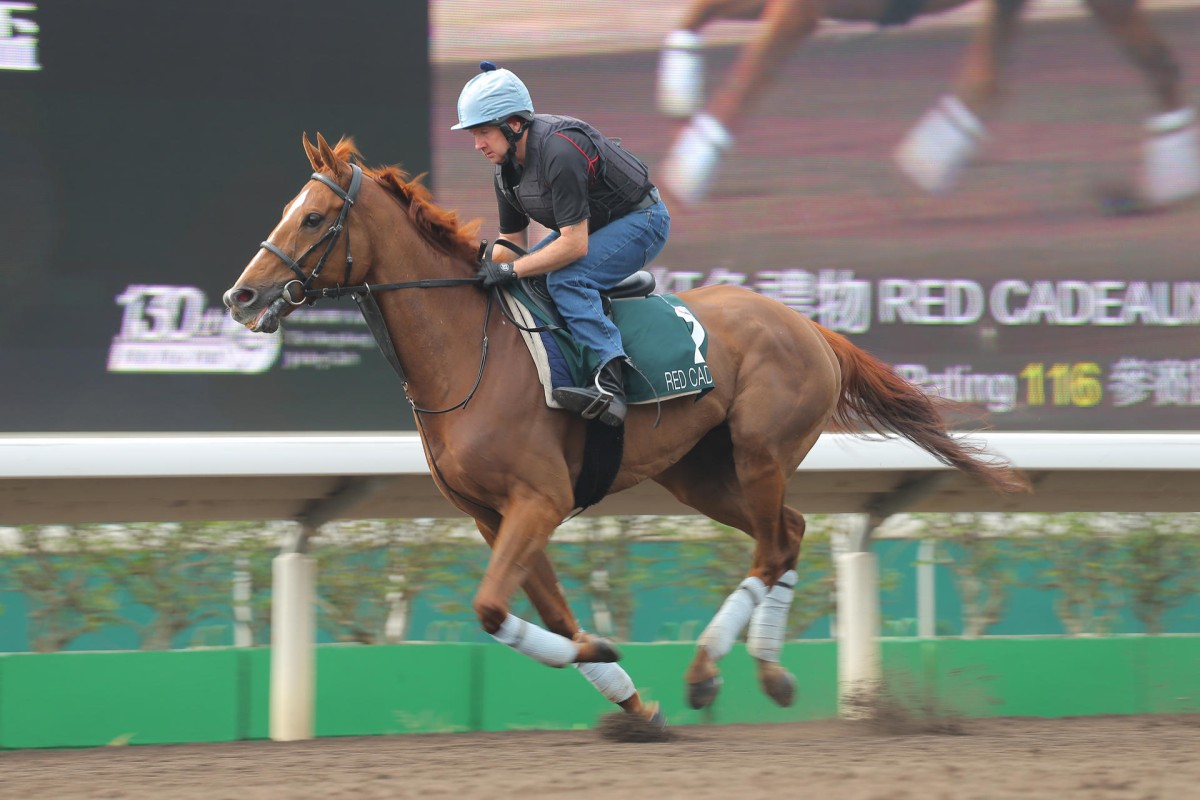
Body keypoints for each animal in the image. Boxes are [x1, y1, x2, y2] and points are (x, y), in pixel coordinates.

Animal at [662, 0, 1195, 209]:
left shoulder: (800, 10)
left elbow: (747, 80)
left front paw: (689, 171)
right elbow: (696, 15)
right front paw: (679, 94)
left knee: (1160, 63)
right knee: (989, 72)